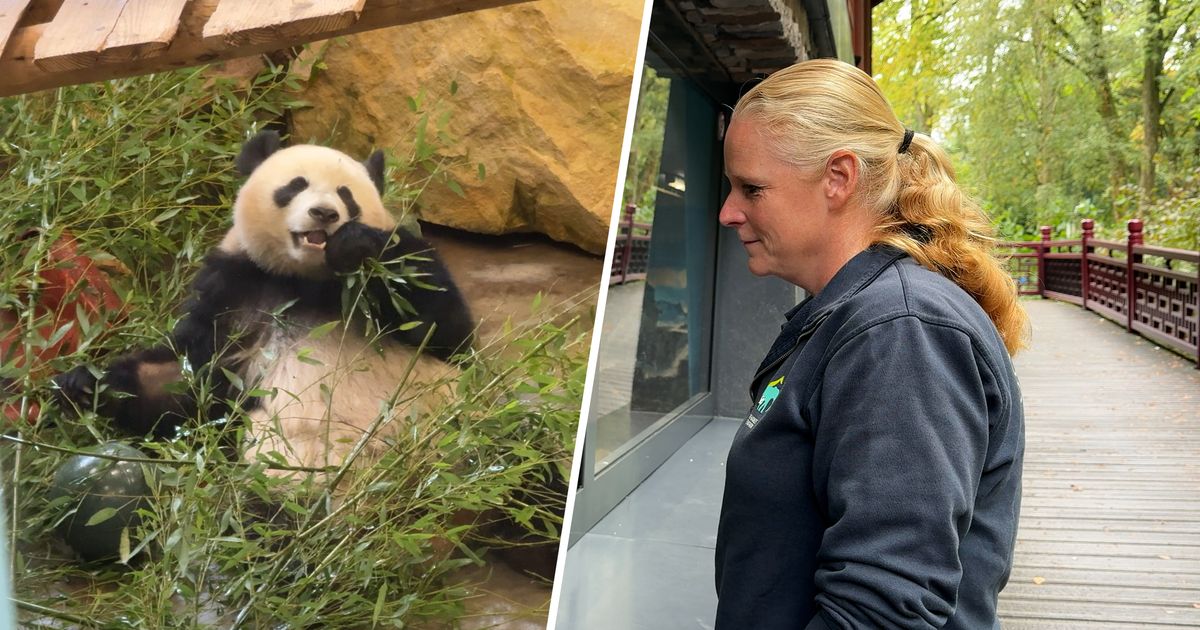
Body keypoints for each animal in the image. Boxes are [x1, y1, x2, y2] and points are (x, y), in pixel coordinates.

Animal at [55, 130, 474, 474]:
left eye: (346, 194)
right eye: (296, 185)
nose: (325, 213)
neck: (304, 279)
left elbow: (442, 328)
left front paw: (355, 245)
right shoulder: (237, 288)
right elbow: (191, 376)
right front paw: (86, 384)